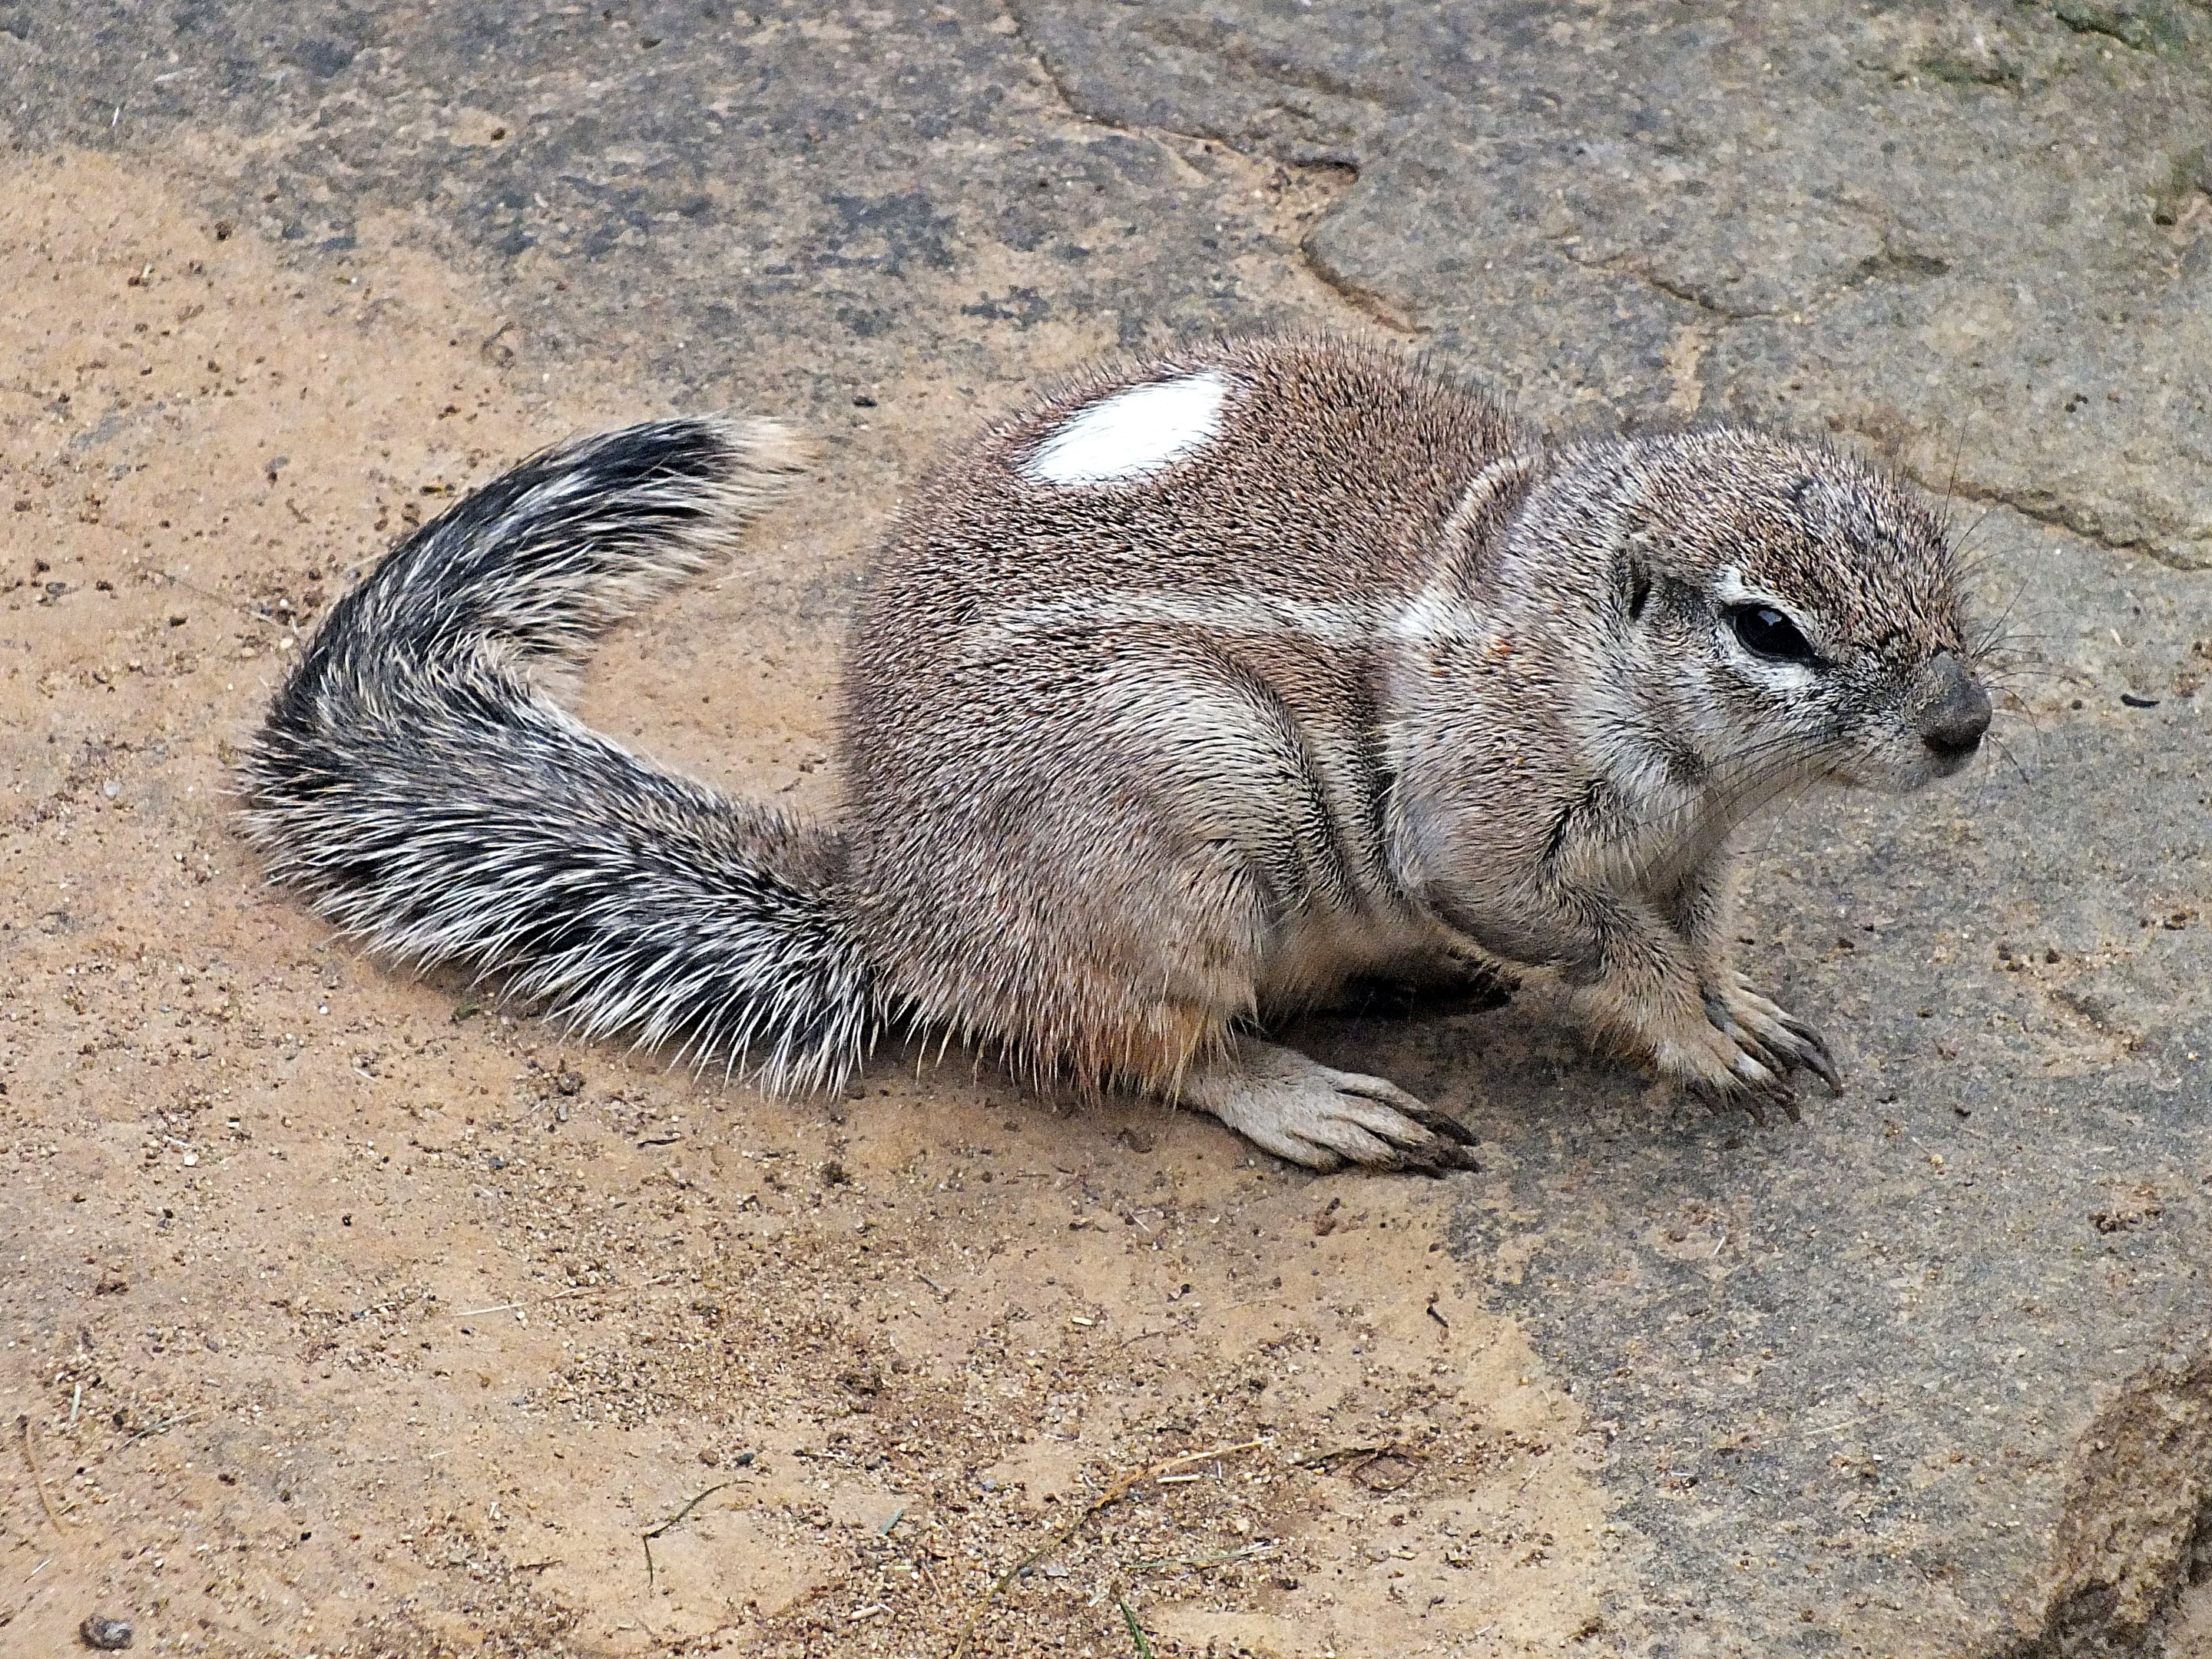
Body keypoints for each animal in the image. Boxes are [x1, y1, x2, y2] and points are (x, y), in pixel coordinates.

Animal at [242, 337, 1993, 1174]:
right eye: (1768, 628)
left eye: (1938, 552)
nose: (1965, 726)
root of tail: (896, 914)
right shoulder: (1483, 818)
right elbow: (1583, 930)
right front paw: (1692, 1034)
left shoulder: (1701, 847)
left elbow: (1693, 931)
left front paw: (1739, 1006)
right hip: (1178, 834)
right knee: (1154, 1048)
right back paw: (1314, 1100)